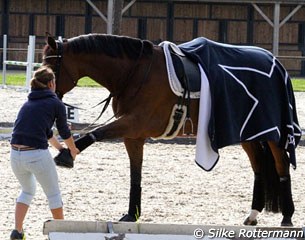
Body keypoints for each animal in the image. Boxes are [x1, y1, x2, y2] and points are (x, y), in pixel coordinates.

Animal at [41, 33, 300, 227]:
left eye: (52, 64)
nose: (45, 89)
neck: (134, 73)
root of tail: (274, 62)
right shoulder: (133, 135)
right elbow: (135, 174)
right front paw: (131, 214)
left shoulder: (133, 122)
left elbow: (95, 132)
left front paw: (66, 154)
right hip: (248, 132)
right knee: (258, 167)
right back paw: (253, 214)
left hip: (275, 135)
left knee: (281, 165)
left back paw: (287, 216)